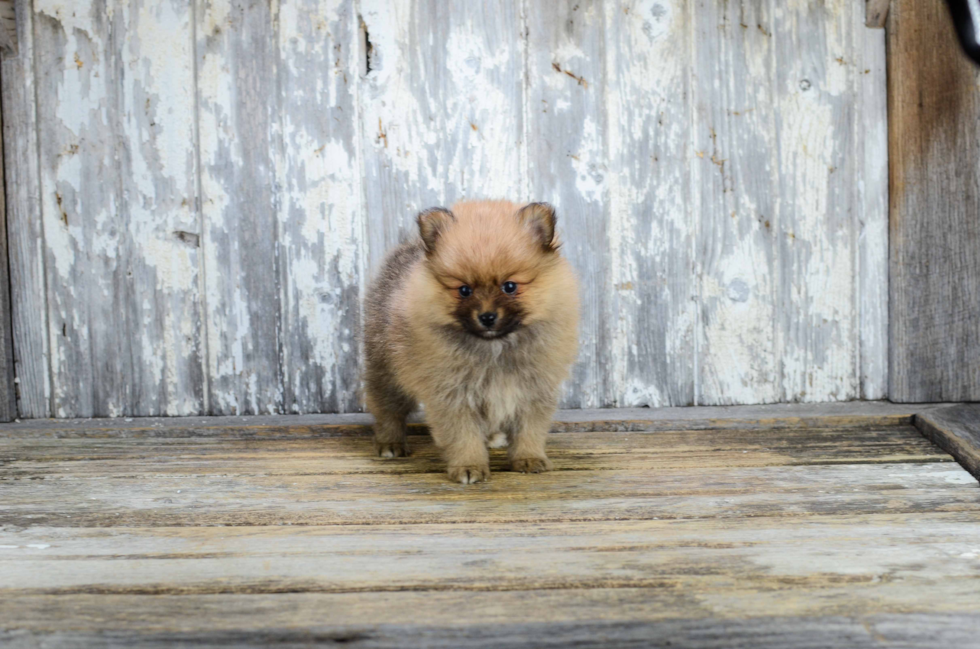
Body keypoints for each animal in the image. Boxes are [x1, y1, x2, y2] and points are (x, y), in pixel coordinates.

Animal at [364, 200, 580, 484]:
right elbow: (463, 435)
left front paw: (529, 458)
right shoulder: (453, 393)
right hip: (386, 369)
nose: (487, 317)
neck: (495, 347)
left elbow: (529, 429)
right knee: (388, 409)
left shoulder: (533, 389)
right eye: (464, 290)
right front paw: (469, 466)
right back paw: (390, 443)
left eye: (509, 286)